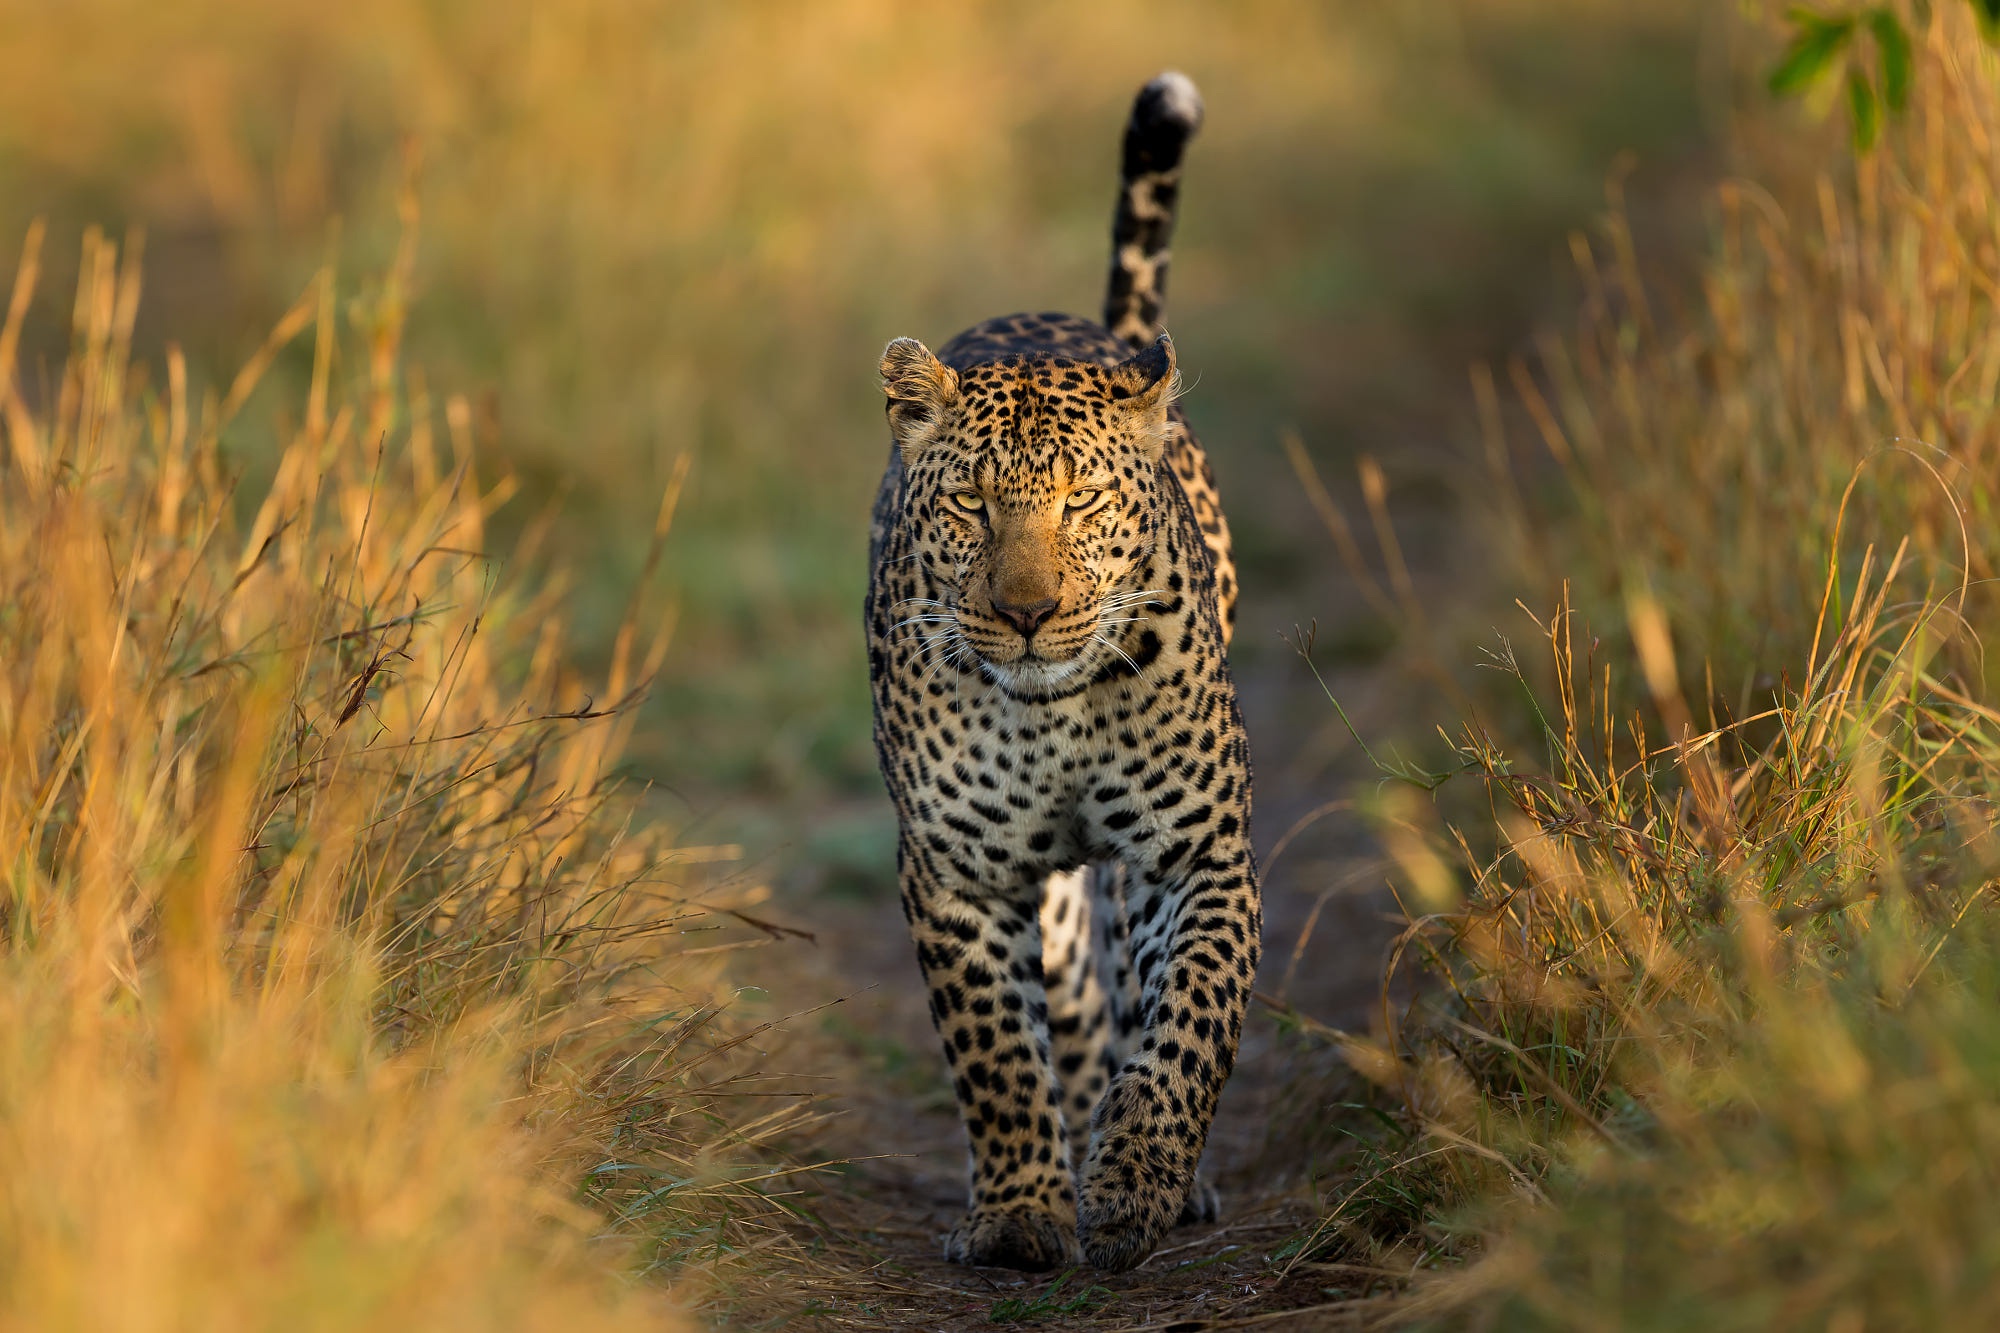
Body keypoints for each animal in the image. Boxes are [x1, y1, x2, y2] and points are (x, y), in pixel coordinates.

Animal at [868, 70, 1256, 1264]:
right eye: (969, 503)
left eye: (1080, 502)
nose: (1029, 613)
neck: (1057, 717)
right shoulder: (957, 876)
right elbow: (995, 1054)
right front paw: (1019, 1213)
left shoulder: (1197, 852)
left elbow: (1188, 1025)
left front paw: (1135, 1182)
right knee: (1075, 1019)